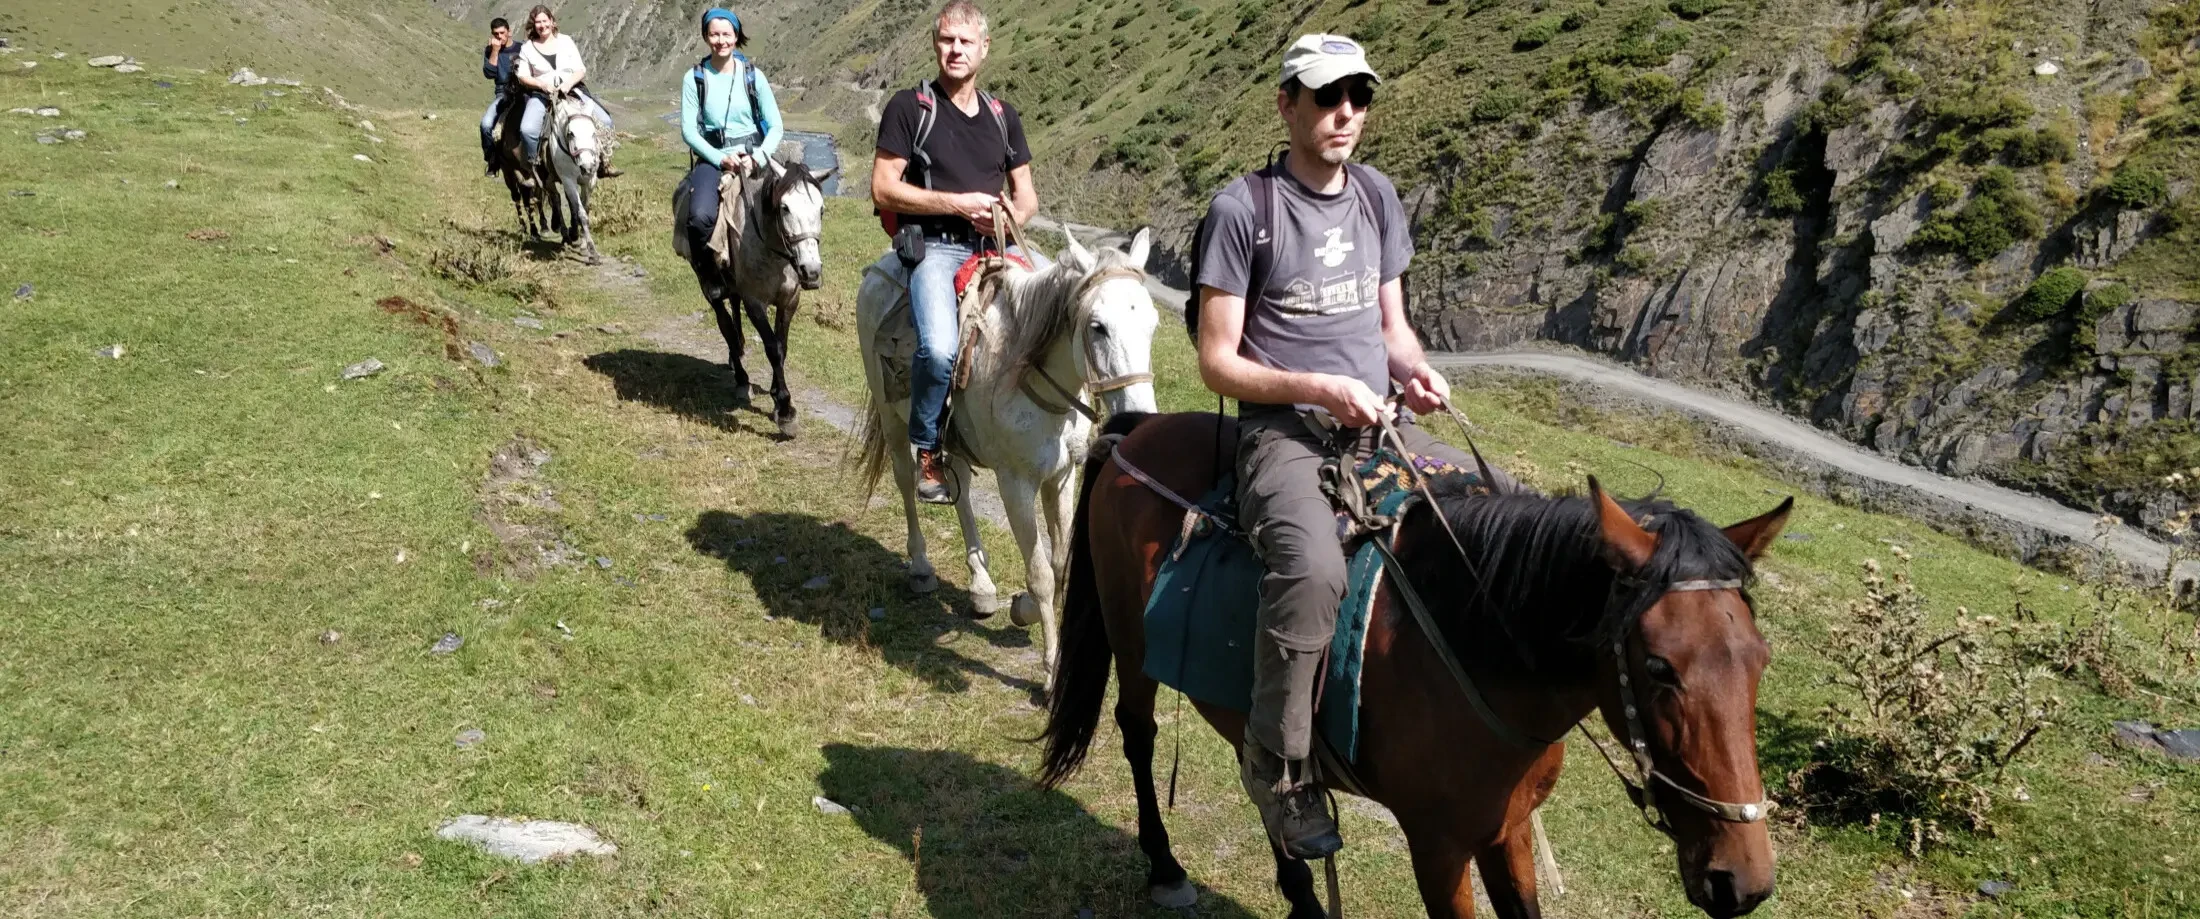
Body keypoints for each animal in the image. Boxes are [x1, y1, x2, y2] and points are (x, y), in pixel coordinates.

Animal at [853, 229, 1170, 681]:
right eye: (1097, 327)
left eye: (1152, 324)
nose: (1138, 419)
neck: (1028, 372)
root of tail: (880, 267)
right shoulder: (1015, 484)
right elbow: (1040, 574)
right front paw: (1050, 664)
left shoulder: (1061, 477)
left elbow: (1059, 564)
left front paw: (1023, 610)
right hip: (891, 417)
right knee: (904, 479)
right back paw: (921, 567)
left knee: (962, 490)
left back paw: (981, 585)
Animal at [1038, 413, 1795, 914]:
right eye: (1661, 667)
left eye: (1760, 662)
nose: (1744, 879)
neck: (1472, 651)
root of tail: (1140, 431)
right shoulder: (1438, 848)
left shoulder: (1509, 831)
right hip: (1131, 645)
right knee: (1138, 735)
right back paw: (1165, 866)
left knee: (1259, 766)